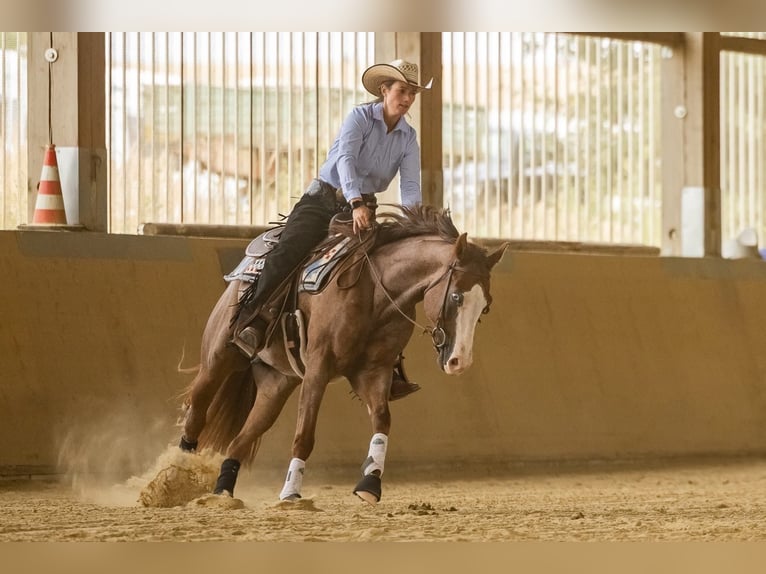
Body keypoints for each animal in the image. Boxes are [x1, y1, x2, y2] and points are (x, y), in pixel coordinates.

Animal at [176, 204, 508, 504]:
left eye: (486, 306)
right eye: (456, 296)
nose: (459, 362)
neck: (376, 292)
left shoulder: (373, 372)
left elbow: (382, 420)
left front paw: (370, 484)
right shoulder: (318, 369)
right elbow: (304, 435)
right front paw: (291, 493)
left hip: (276, 384)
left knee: (240, 440)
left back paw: (223, 492)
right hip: (219, 357)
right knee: (197, 412)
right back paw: (176, 477)